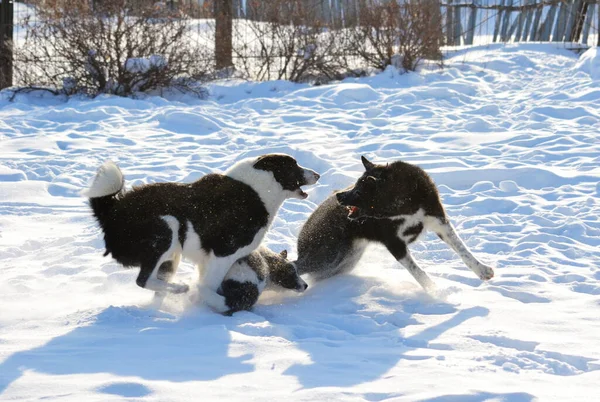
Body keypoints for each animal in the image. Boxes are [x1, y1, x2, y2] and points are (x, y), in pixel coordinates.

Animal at [85, 152, 318, 312]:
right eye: (294, 165)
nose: (317, 174)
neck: (258, 190)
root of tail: (111, 211)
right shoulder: (223, 255)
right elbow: (209, 286)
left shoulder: (208, 260)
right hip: (167, 228)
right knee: (143, 280)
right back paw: (180, 288)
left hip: (171, 255)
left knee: (155, 285)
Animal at [292, 155, 494, 290]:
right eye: (355, 184)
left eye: (359, 191)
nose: (339, 196)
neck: (403, 205)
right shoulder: (393, 242)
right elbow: (417, 271)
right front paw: (436, 292)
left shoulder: (438, 220)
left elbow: (462, 249)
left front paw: (482, 270)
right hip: (329, 256)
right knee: (296, 265)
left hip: (344, 260)